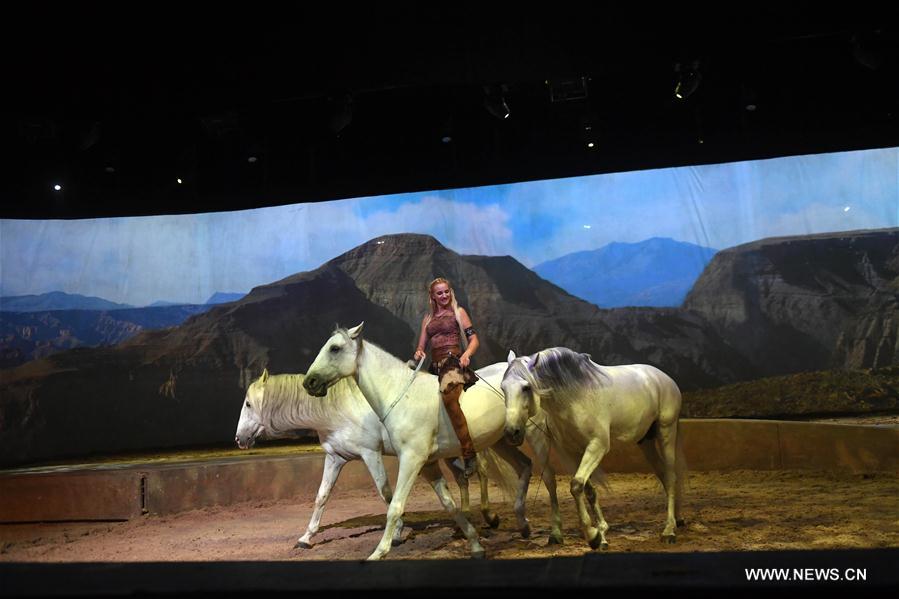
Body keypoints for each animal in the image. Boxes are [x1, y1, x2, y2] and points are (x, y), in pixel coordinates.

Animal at [232, 370, 510, 548]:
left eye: (248, 404)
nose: (238, 439)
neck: (337, 409)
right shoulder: (335, 458)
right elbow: (322, 496)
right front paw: (306, 538)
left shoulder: (370, 454)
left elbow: (385, 493)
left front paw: (397, 533)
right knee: (463, 478)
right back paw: (466, 520)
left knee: (481, 471)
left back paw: (488, 517)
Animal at [306, 324, 536, 564]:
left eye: (335, 348)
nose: (309, 382)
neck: (401, 396)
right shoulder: (427, 465)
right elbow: (449, 504)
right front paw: (475, 545)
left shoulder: (409, 460)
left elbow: (394, 505)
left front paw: (379, 551)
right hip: (503, 439)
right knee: (524, 466)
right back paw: (522, 524)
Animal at [502, 346, 684, 548]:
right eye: (503, 388)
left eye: (526, 387)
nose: (512, 432)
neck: (574, 398)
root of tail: (665, 378)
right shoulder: (573, 451)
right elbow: (586, 489)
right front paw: (600, 535)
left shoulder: (598, 446)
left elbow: (576, 485)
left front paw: (593, 536)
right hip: (646, 441)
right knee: (662, 474)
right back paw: (676, 519)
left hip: (666, 432)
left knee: (670, 476)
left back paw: (669, 530)